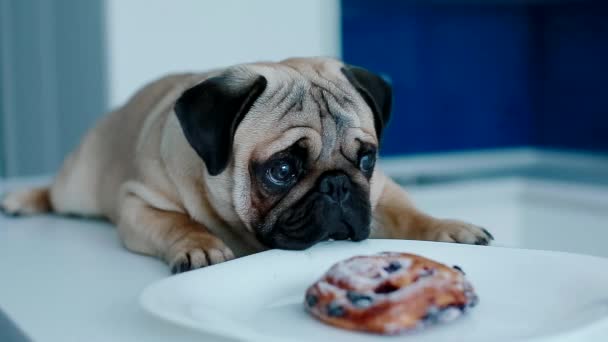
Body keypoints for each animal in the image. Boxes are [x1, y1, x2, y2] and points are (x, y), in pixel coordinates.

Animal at [1, 57, 494, 274]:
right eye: (282, 171)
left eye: (367, 159)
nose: (337, 186)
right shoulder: (139, 204)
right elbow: (177, 223)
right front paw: (200, 246)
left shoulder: (381, 191)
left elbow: (411, 213)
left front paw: (448, 228)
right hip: (78, 187)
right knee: (55, 193)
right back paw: (22, 198)